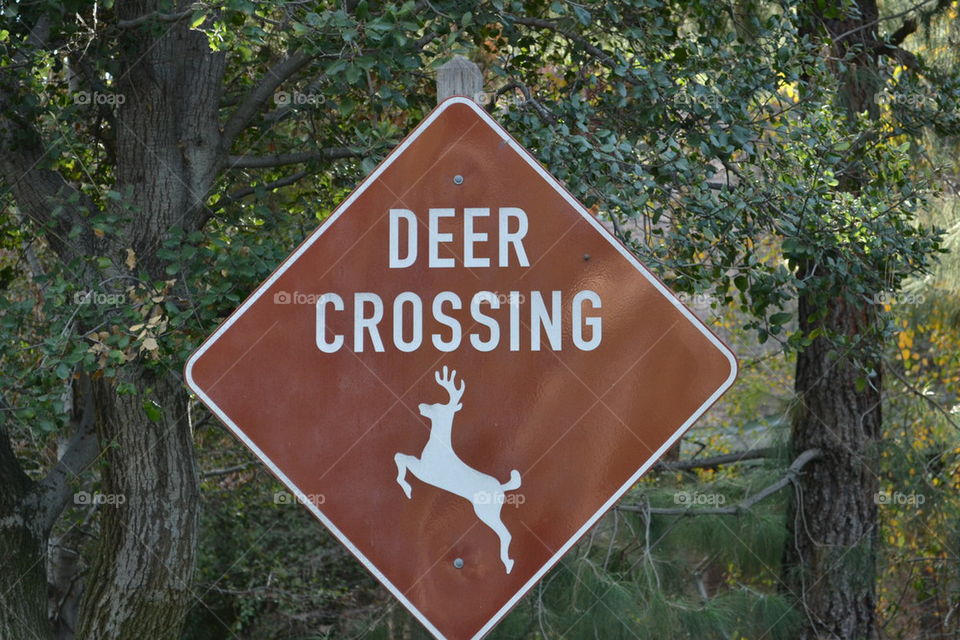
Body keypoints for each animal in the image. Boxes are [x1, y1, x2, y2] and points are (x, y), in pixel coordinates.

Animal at [394, 366, 522, 574]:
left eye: (438, 406)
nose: (421, 406)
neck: (439, 446)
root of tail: (502, 487)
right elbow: (400, 457)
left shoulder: (425, 472)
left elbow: (400, 457)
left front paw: (407, 488)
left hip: (486, 511)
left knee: (505, 534)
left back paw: (508, 564)